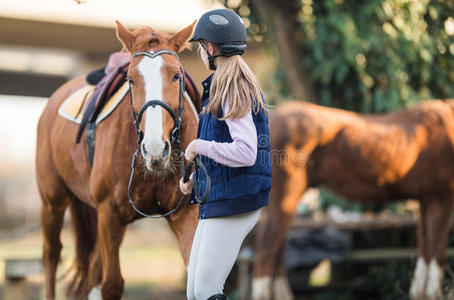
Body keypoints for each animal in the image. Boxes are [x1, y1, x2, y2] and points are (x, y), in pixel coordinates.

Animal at [35, 21, 199, 300]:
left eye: (177, 76)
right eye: (131, 79)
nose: (155, 149)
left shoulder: (186, 214)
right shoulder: (109, 213)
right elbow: (111, 285)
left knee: (91, 269)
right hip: (53, 200)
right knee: (51, 255)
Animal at [254, 99, 454, 298]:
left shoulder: (426, 201)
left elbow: (425, 251)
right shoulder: (442, 199)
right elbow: (437, 253)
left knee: (276, 254)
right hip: (284, 200)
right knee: (266, 252)